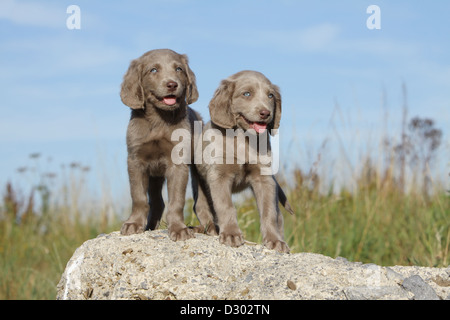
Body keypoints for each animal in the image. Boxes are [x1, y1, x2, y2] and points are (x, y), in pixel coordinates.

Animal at [121, 48, 202, 241]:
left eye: (179, 69)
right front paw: (133, 224)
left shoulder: (178, 163)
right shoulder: (135, 160)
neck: (159, 120)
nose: (172, 84)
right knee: (157, 202)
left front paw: (179, 229)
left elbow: (177, 200)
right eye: (153, 70)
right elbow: (138, 196)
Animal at [192, 70, 292, 252]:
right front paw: (231, 234)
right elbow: (226, 206)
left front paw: (274, 240)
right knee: (202, 208)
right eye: (246, 94)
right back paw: (209, 228)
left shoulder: (264, 178)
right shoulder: (219, 175)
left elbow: (268, 211)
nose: (266, 113)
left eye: (270, 95)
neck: (242, 139)